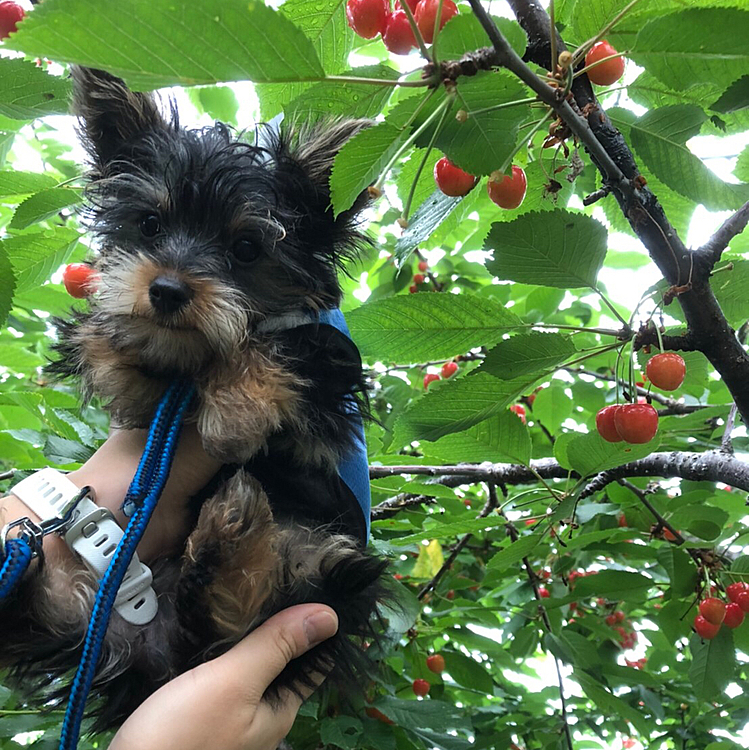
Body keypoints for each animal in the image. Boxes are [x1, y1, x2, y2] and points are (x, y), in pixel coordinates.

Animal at [0, 66, 386, 736]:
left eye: (247, 249)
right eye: (150, 226)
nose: (167, 289)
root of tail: (163, 656)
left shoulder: (327, 354)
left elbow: (277, 352)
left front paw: (234, 408)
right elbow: (103, 341)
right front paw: (124, 351)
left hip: (319, 577)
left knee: (256, 607)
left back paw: (226, 548)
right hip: (89, 622)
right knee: (52, 613)